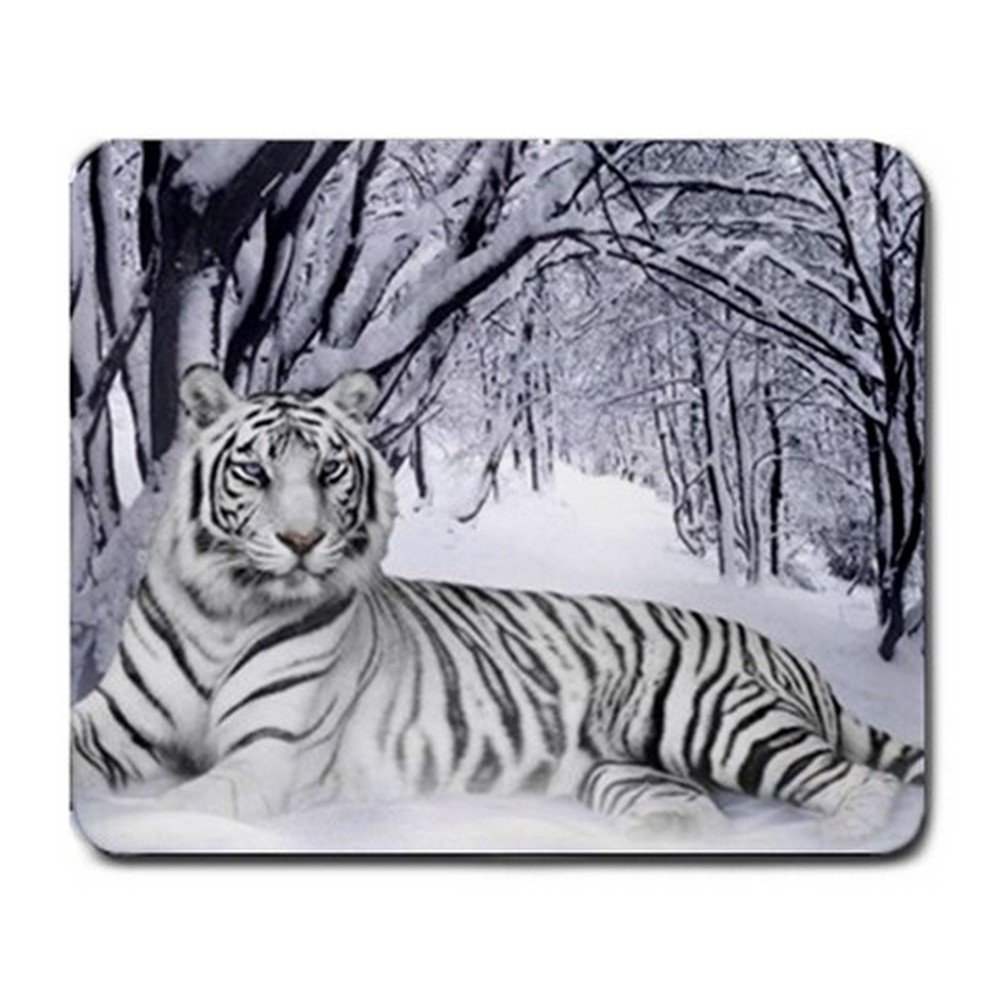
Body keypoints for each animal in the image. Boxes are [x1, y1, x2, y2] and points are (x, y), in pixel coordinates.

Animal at [70, 365, 924, 842]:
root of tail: (790, 653)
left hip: (711, 717)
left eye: (329, 471)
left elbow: (183, 801)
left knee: (862, 783)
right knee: (697, 808)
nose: (303, 541)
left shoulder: (267, 754)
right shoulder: (118, 720)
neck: (226, 609)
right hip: (623, 768)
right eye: (254, 472)